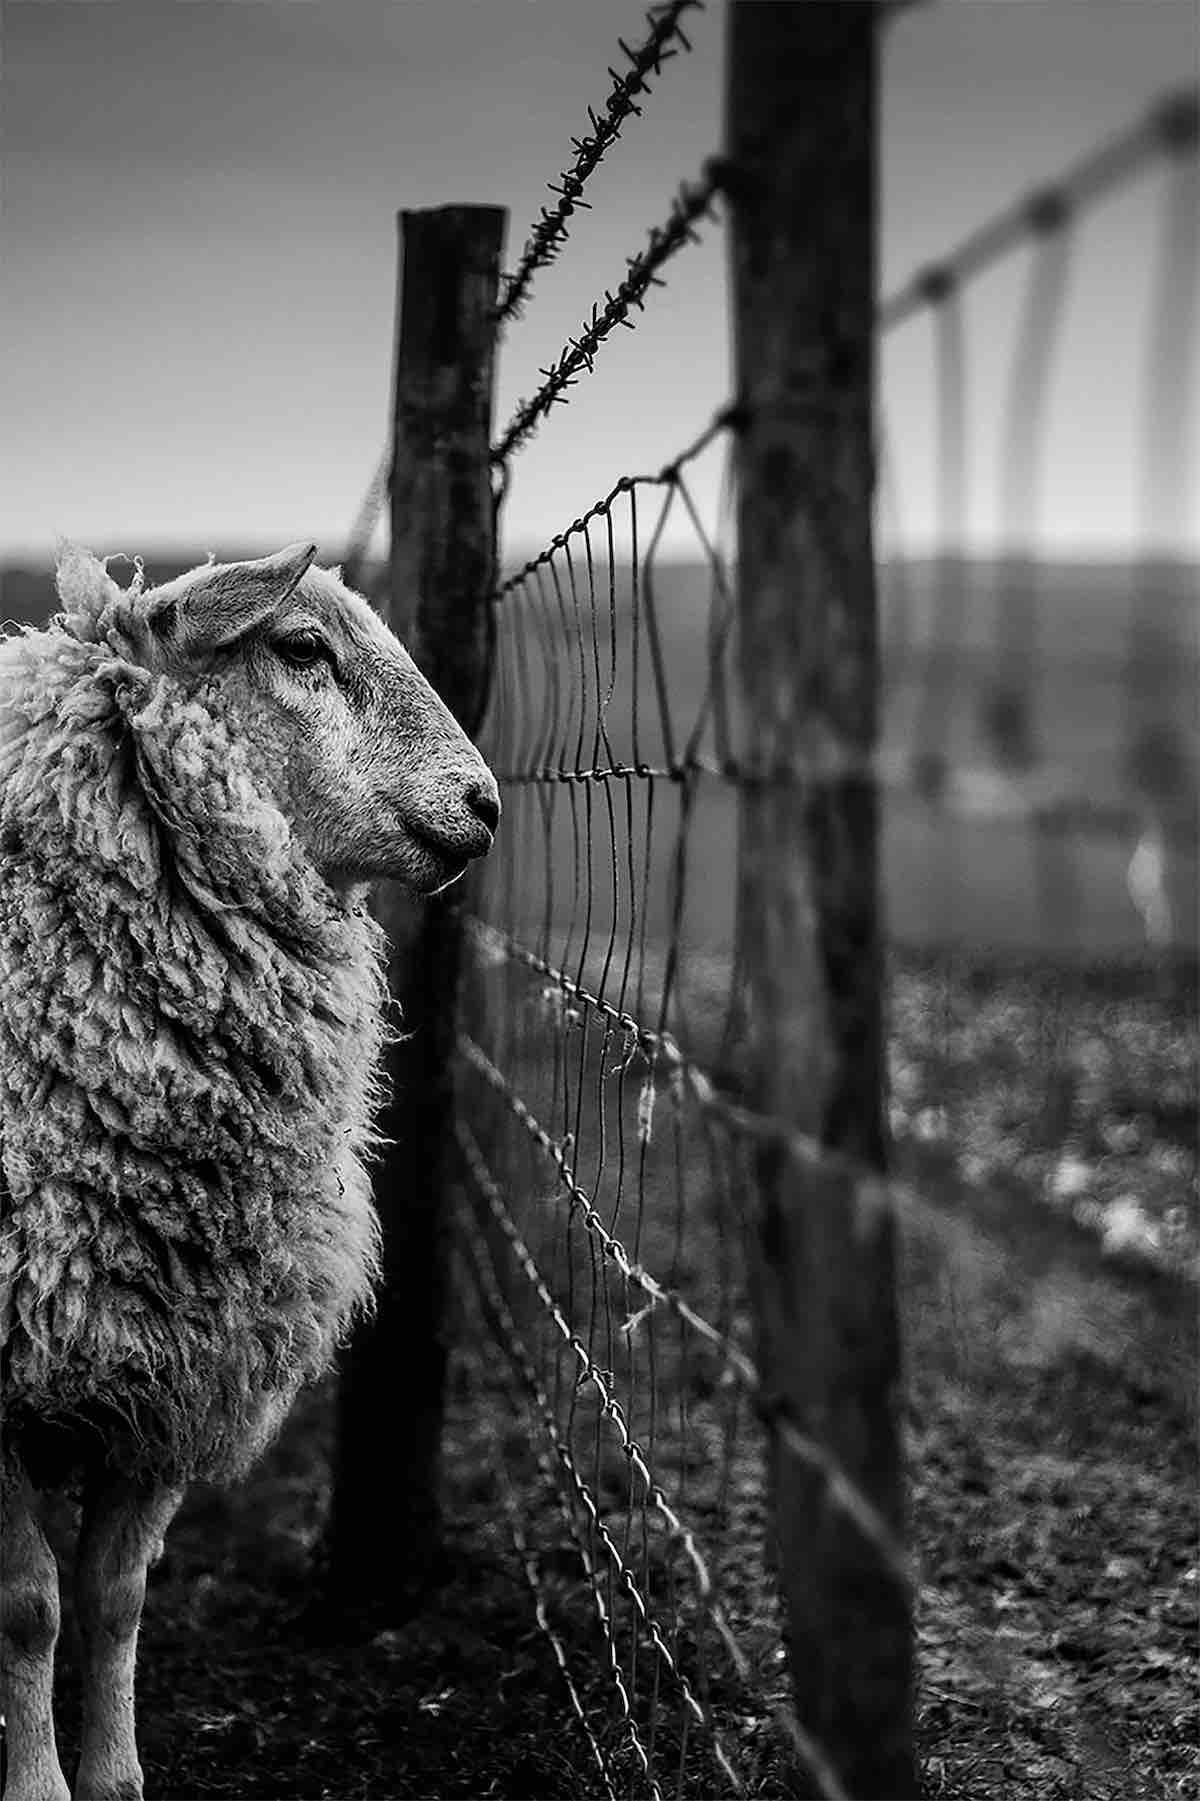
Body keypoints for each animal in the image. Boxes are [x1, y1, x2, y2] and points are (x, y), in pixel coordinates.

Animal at [0, 536, 493, 1801]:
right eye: (302, 648)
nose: (486, 804)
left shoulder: (174, 1357)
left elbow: (116, 1598)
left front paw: (116, 1779)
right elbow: (30, 1609)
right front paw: (40, 1783)